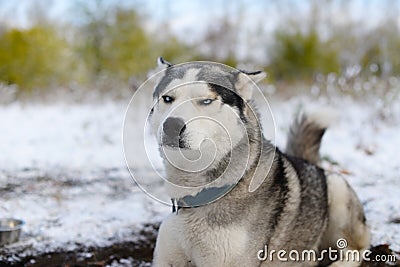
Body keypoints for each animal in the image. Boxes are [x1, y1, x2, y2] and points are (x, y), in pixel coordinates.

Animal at [149, 57, 368, 266]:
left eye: (206, 101)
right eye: (168, 99)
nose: (171, 125)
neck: (198, 195)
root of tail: (311, 164)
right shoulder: (166, 257)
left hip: (337, 190)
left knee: (357, 249)